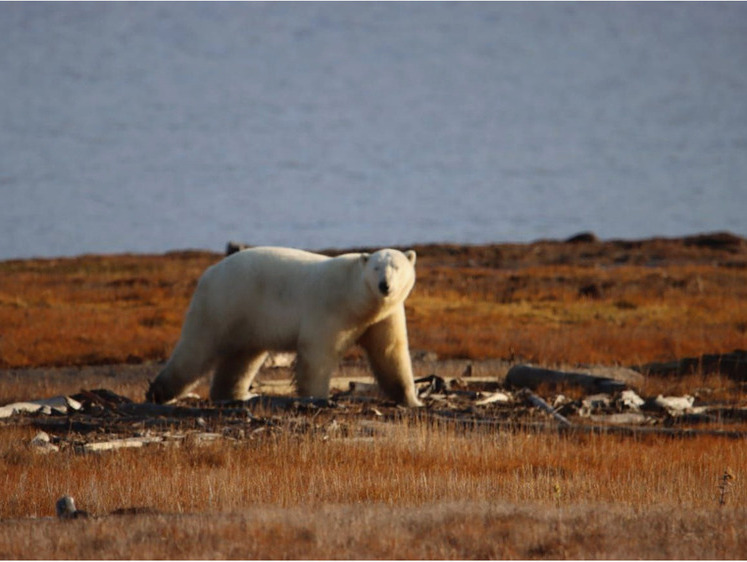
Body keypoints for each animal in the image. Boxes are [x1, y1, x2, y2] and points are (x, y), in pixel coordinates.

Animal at [146, 247, 424, 404]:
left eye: (396, 267)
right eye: (376, 267)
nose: (384, 285)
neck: (357, 299)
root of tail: (208, 272)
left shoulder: (384, 316)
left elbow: (390, 353)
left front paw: (411, 399)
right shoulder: (330, 308)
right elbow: (318, 354)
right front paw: (318, 398)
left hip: (249, 318)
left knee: (242, 357)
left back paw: (236, 395)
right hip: (223, 304)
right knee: (196, 349)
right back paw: (158, 393)